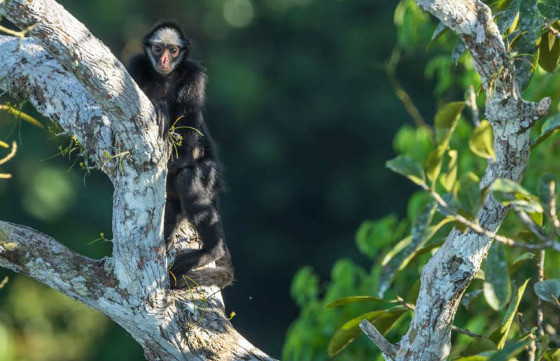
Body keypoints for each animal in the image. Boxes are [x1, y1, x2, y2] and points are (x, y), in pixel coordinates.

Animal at [126, 21, 232, 286]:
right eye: (157, 49)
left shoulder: (195, 75)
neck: (165, 77)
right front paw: (160, 107)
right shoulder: (135, 66)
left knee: (187, 174)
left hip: (212, 178)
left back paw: (211, 251)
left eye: (173, 50)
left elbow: (189, 146)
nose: (164, 59)